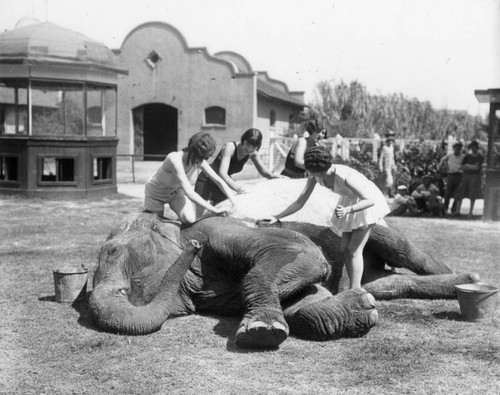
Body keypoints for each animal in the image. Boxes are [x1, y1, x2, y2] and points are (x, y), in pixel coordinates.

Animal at [88, 213, 478, 350]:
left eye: (112, 250)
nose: (192, 248)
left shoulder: (219, 230)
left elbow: (301, 254)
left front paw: (259, 331)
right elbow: (304, 300)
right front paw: (358, 312)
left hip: (373, 227)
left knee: (403, 249)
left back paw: (471, 280)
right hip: (379, 275)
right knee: (389, 283)